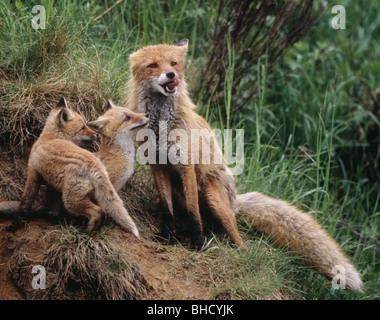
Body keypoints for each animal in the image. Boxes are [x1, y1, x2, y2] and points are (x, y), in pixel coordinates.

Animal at [126, 38, 364, 292]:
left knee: (236, 237)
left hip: (212, 197)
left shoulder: (185, 165)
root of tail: (235, 201)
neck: (162, 127)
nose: (171, 75)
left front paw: (198, 244)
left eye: (173, 63)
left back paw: (235, 249)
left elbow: (193, 214)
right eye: (153, 65)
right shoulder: (158, 166)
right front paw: (167, 236)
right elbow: (166, 208)